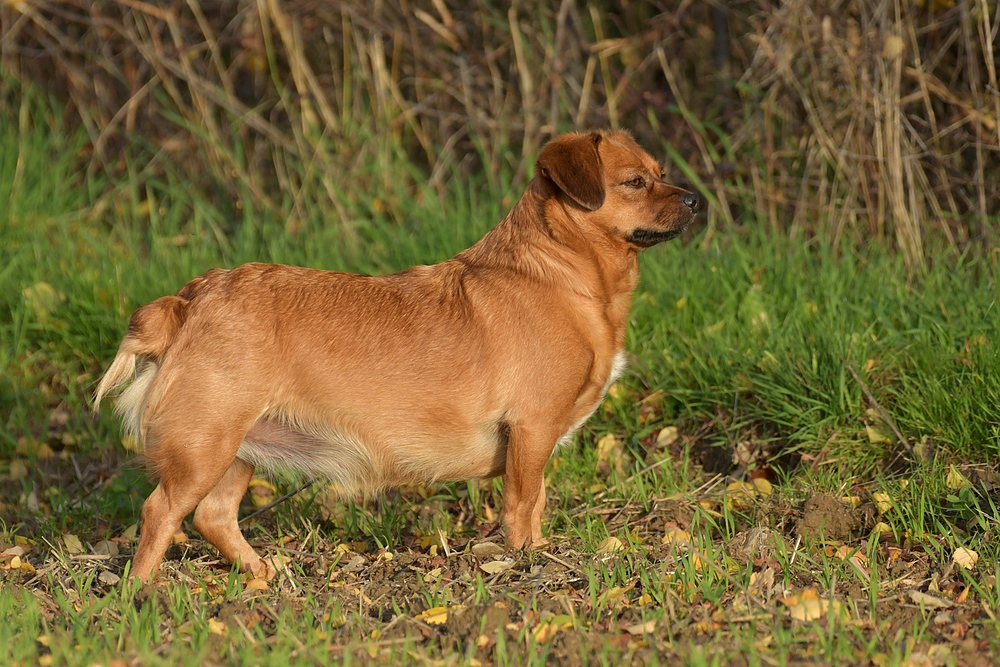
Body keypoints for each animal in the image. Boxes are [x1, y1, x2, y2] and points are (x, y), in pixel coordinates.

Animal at [95, 129, 704, 580]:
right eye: (635, 182)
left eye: (662, 172)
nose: (695, 199)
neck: (563, 274)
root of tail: (191, 298)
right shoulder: (532, 431)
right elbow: (523, 509)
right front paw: (531, 563)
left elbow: (537, 504)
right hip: (205, 446)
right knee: (160, 512)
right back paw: (143, 594)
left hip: (235, 450)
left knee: (214, 517)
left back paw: (264, 576)